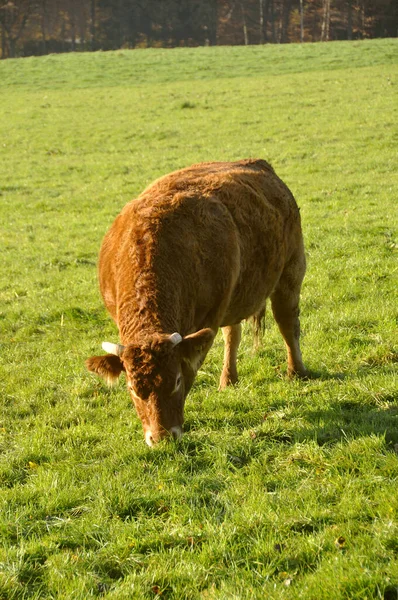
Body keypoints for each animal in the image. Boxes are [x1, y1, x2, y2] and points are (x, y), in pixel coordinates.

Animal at [85, 159, 306, 446]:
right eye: (132, 388)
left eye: (176, 381)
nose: (162, 437)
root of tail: (258, 164)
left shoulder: (203, 325)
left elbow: (192, 367)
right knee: (233, 334)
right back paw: (228, 379)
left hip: (291, 269)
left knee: (287, 323)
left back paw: (296, 371)